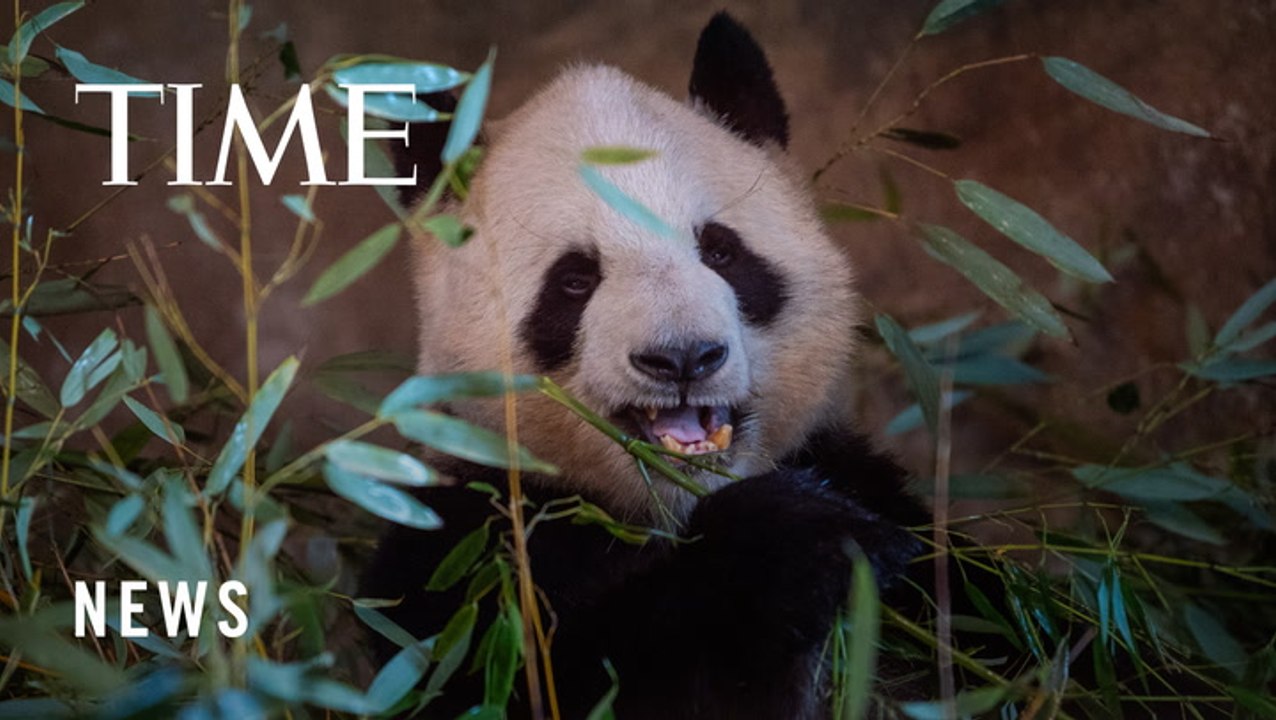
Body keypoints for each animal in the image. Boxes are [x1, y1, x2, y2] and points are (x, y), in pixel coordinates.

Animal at [362, 13, 932, 719]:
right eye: (575, 281)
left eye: (720, 251)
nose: (683, 356)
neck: (665, 507)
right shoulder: (457, 560)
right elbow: (563, 676)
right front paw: (800, 540)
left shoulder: (856, 473)